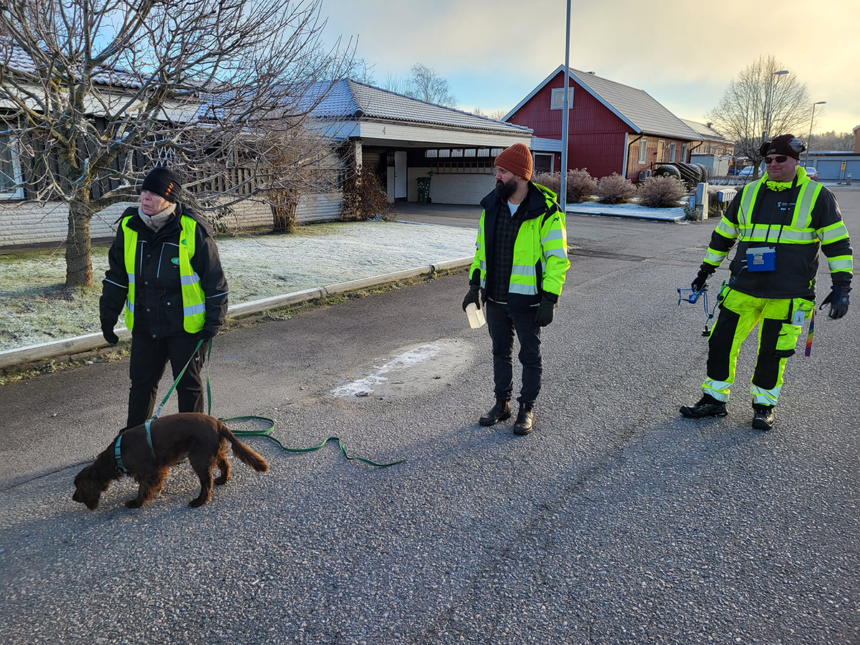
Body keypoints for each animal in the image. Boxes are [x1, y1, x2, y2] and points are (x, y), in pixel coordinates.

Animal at [74, 412, 268, 508]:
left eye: (77, 486)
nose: (73, 498)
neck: (117, 454)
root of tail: (219, 423)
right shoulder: (157, 469)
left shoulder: (149, 471)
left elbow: (143, 489)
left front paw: (137, 503)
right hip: (213, 451)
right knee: (225, 464)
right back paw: (222, 479)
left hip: (198, 457)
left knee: (207, 481)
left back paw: (199, 501)